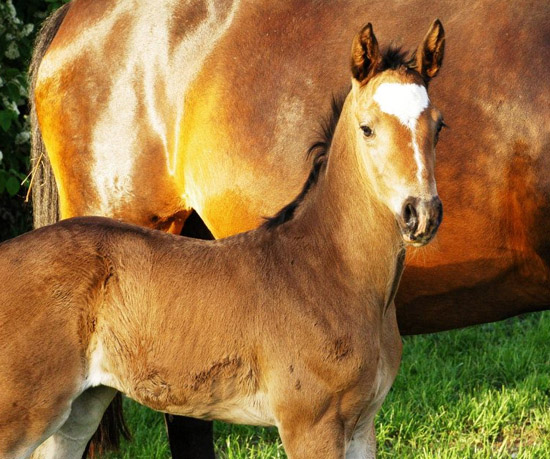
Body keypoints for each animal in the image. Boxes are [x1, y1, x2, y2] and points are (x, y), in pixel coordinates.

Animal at [0, 22, 446, 459]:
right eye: (367, 127)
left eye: (438, 126)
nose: (421, 213)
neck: (330, 270)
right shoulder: (310, 426)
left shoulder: (362, 425)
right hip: (23, 413)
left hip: (83, 405)